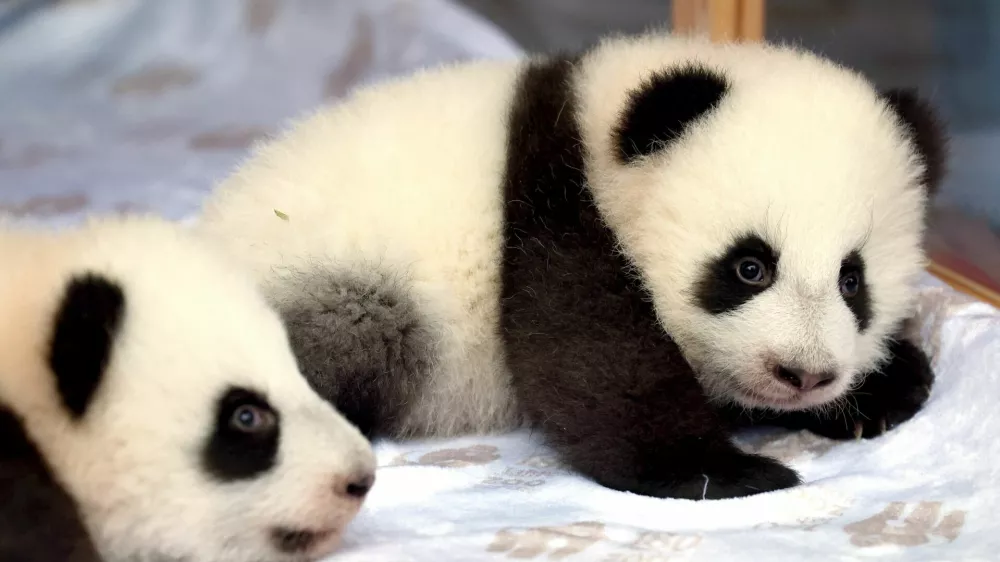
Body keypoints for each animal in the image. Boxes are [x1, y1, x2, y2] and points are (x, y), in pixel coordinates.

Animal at [195, 31, 944, 501]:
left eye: (853, 280)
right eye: (749, 268)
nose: (804, 375)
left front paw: (884, 391)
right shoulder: (552, 208)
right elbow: (593, 358)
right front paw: (722, 472)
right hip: (341, 287)